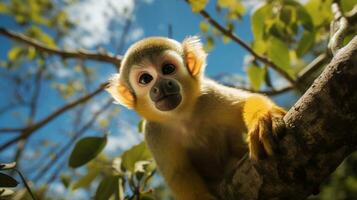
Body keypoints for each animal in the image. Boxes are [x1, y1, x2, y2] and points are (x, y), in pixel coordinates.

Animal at [105, 36, 284, 199]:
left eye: (168, 68)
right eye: (145, 79)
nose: (161, 85)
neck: (182, 115)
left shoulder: (209, 96)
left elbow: (246, 103)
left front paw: (263, 119)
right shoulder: (153, 132)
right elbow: (179, 173)